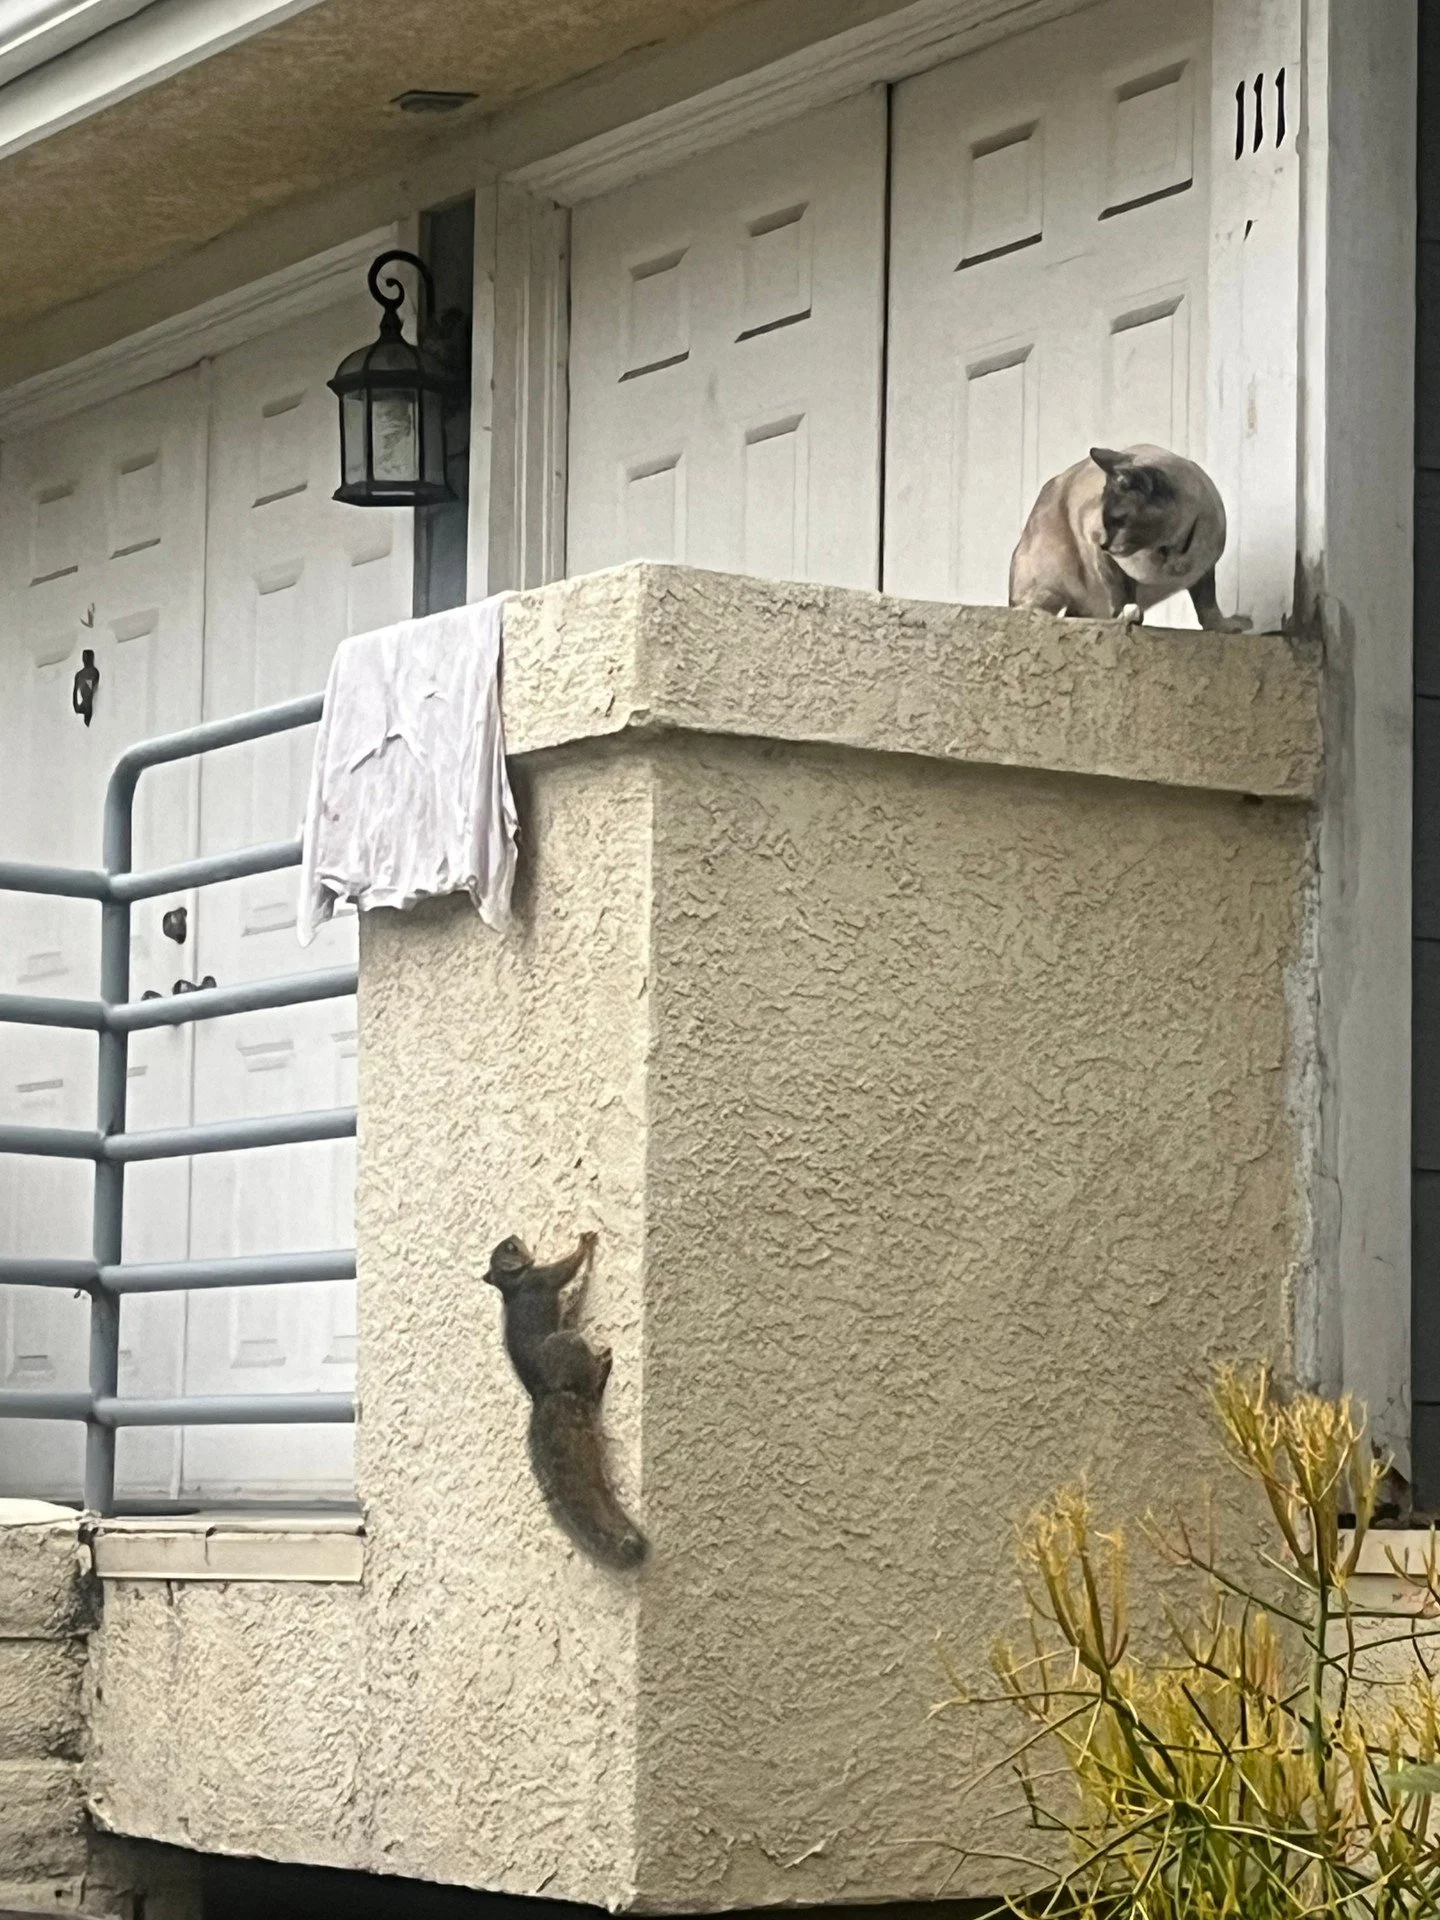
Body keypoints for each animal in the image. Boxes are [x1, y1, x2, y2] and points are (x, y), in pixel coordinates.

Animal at [485, 1232, 647, 1571]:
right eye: (510, 1248)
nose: (514, 1235)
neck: (513, 1282)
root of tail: (546, 1393)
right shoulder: (543, 1278)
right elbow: (569, 1268)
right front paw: (586, 1242)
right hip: (568, 1344)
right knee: (590, 1384)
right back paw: (602, 1364)